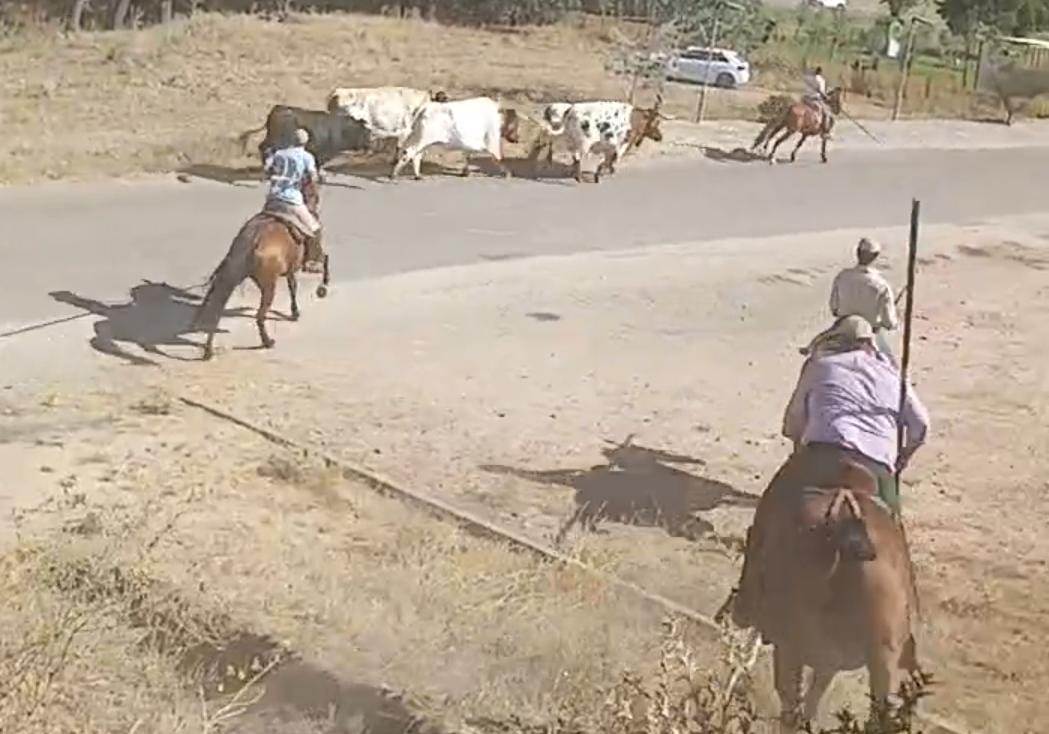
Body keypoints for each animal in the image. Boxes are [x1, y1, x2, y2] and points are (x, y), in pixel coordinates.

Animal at [193, 179, 329, 360]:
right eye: (314, 192)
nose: (317, 208)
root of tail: (251, 242)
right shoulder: (312, 255)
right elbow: (325, 259)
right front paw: (323, 287)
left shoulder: (290, 269)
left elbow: (292, 287)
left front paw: (295, 312)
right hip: (268, 286)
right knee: (259, 315)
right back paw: (267, 342)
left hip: (232, 276)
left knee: (217, 307)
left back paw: (208, 350)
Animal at [392, 96, 522, 181]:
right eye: (516, 124)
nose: (517, 138)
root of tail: (426, 107)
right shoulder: (492, 139)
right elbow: (499, 157)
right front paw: (508, 174)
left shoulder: (470, 144)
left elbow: (467, 156)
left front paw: (465, 172)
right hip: (423, 139)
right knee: (409, 153)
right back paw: (394, 175)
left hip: (419, 139)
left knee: (415, 155)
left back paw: (417, 176)